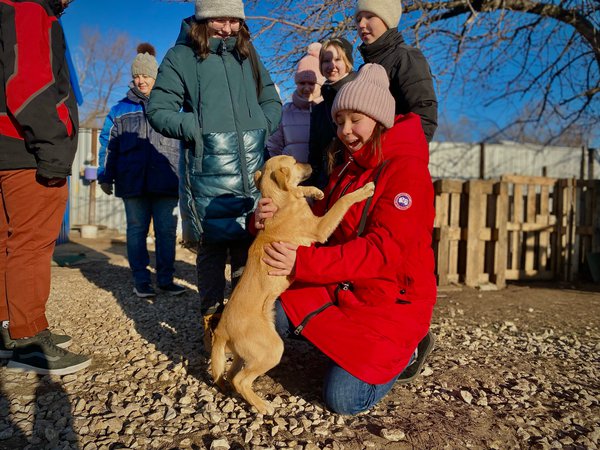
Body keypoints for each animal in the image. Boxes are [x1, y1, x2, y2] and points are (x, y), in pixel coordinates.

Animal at [209, 156, 372, 414]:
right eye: (295, 162)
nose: (312, 165)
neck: (281, 202)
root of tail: (221, 330)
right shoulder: (320, 227)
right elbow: (341, 203)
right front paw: (363, 191)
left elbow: (301, 191)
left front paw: (314, 191)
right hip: (272, 349)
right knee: (241, 380)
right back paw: (263, 406)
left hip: (245, 353)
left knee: (233, 376)